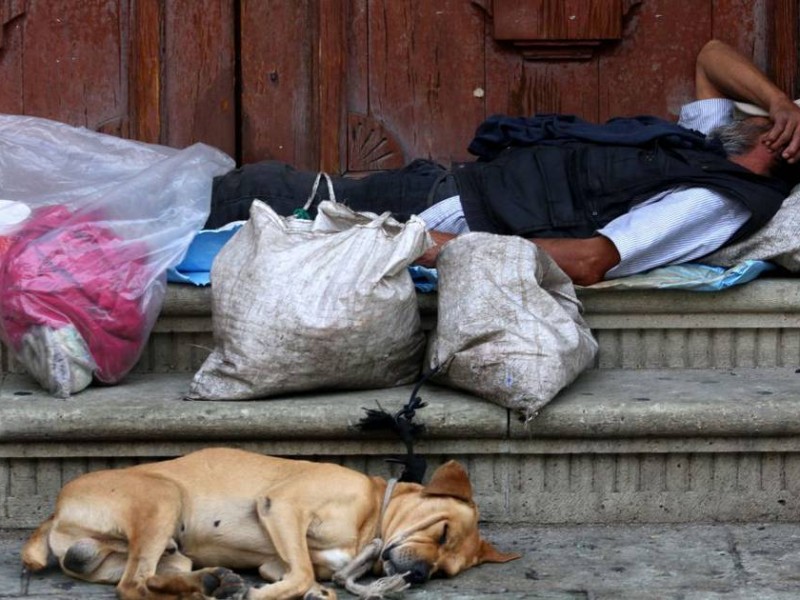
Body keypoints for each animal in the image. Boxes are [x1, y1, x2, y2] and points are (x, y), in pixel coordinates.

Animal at [21, 448, 520, 596]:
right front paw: (269, 595)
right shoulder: (283, 506)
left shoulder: (276, 558)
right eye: (442, 530)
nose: (418, 575)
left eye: (445, 571)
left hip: (170, 553)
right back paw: (216, 589)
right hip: (163, 498)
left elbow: (300, 574)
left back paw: (212, 582)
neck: (371, 518)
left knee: (149, 578)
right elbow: (300, 575)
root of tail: (54, 513)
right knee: (133, 585)